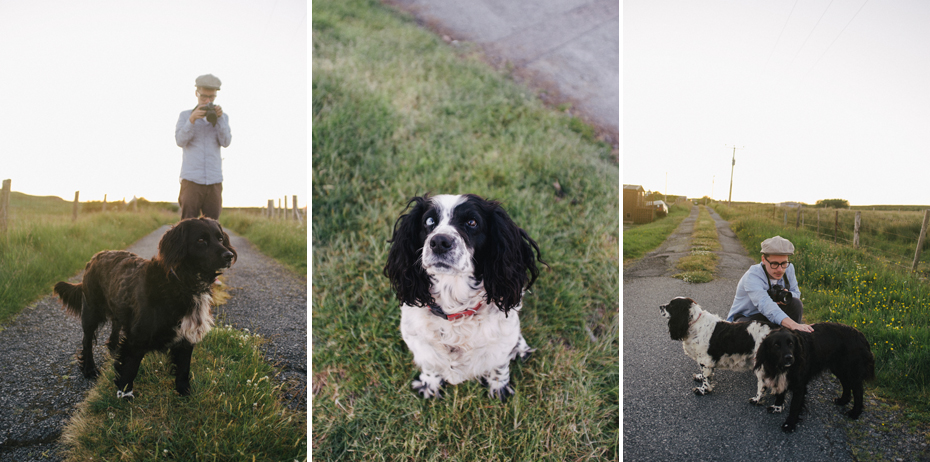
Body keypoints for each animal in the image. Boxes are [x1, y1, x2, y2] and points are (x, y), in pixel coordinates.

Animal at [53, 218, 236, 398]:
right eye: (200, 240)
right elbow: (129, 370)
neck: (182, 284)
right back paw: (89, 368)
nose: (229, 255)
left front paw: (185, 393)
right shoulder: (136, 339)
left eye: (220, 239)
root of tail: (96, 256)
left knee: (115, 325)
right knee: (87, 341)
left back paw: (113, 346)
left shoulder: (186, 337)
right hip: (91, 311)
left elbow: (183, 369)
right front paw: (124, 396)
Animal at [382, 194, 544, 400]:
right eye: (429, 221)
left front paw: (499, 387)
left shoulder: (501, 341)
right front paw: (429, 386)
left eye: (472, 222)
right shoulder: (419, 341)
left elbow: (499, 365)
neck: (455, 308)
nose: (439, 242)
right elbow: (430, 364)